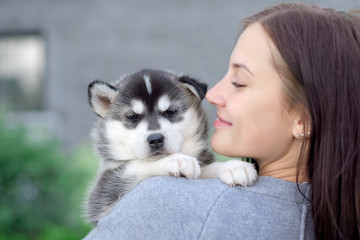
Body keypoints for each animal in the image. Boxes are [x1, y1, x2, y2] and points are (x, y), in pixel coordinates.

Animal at [86, 69, 258, 225]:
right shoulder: (102, 198)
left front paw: (233, 166)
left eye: (170, 112)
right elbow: (135, 165)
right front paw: (177, 160)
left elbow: (208, 168)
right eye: (133, 117)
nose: (155, 139)